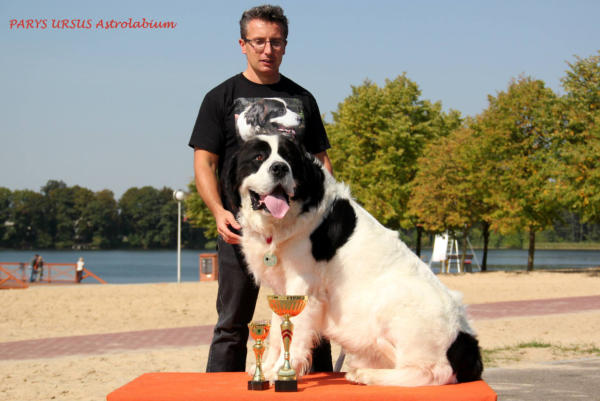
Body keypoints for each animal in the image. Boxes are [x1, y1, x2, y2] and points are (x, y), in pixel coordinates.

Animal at [223, 133, 483, 386]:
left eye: (289, 159)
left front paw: (281, 372)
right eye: (258, 157)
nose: (279, 168)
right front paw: (266, 369)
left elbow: (294, 332)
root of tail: (465, 340)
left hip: (395, 300)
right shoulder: (282, 288)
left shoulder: (304, 285)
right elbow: (278, 332)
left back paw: (367, 375)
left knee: (432, 372)